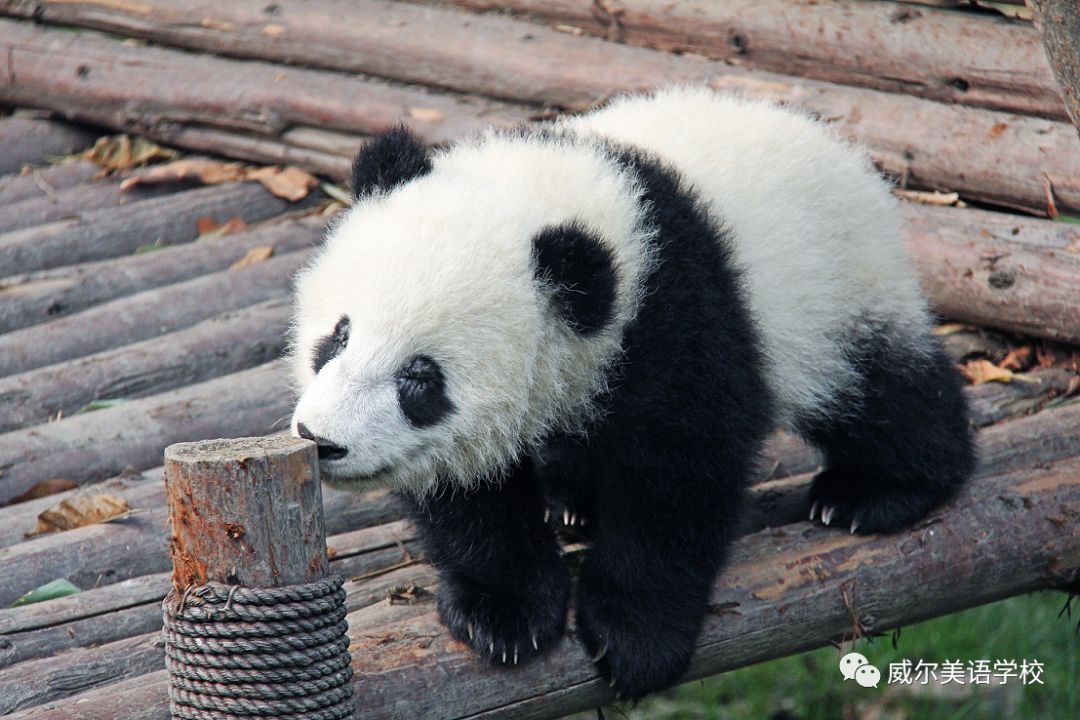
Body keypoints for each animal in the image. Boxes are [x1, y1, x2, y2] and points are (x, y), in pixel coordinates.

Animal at [291, 87, 976, 699]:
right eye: (339, 335)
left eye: (421, 378)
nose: (321, 440)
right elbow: (469, 492)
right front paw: (504, 611)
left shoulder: (675, 314)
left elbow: (678, 474)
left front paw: (635, 638)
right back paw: (574, 500)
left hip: (835, 288)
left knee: (878, 389)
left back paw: (874, 492)